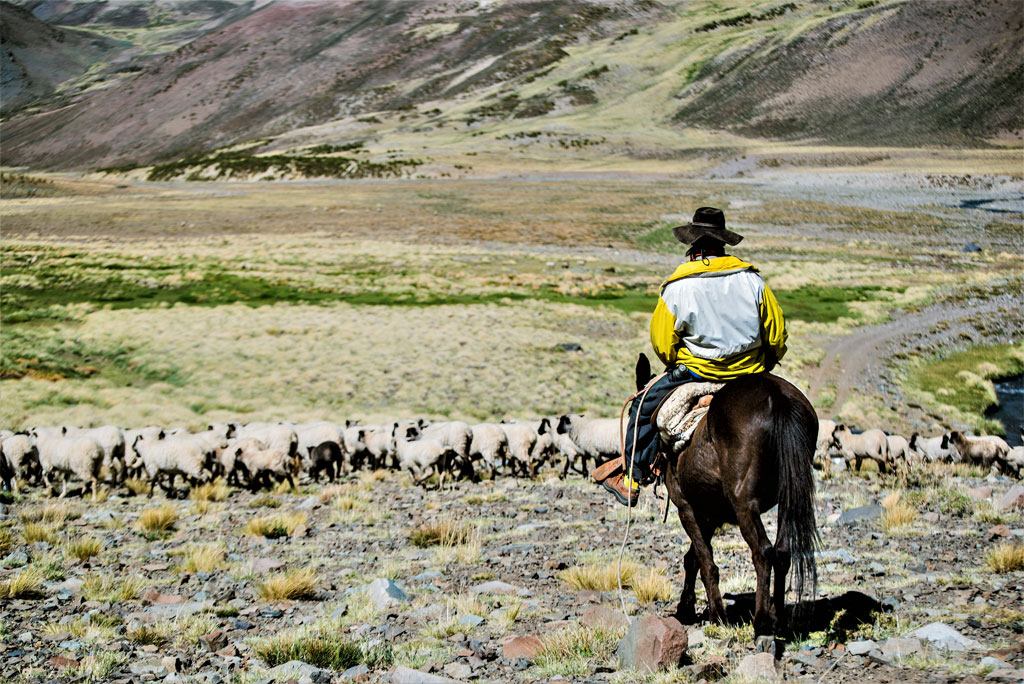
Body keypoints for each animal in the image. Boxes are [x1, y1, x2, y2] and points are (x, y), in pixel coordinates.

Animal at [634, 356, 819, 643]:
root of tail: (777, 396)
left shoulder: (687, 508)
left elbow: (705, 560)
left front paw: (717, 615)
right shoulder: (709, 514)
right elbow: (693, 558)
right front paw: (687, 607)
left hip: (744, 503)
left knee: (763, 551)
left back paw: (762, 622)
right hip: (788, 498)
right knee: (783, 552)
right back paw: (779, 619)